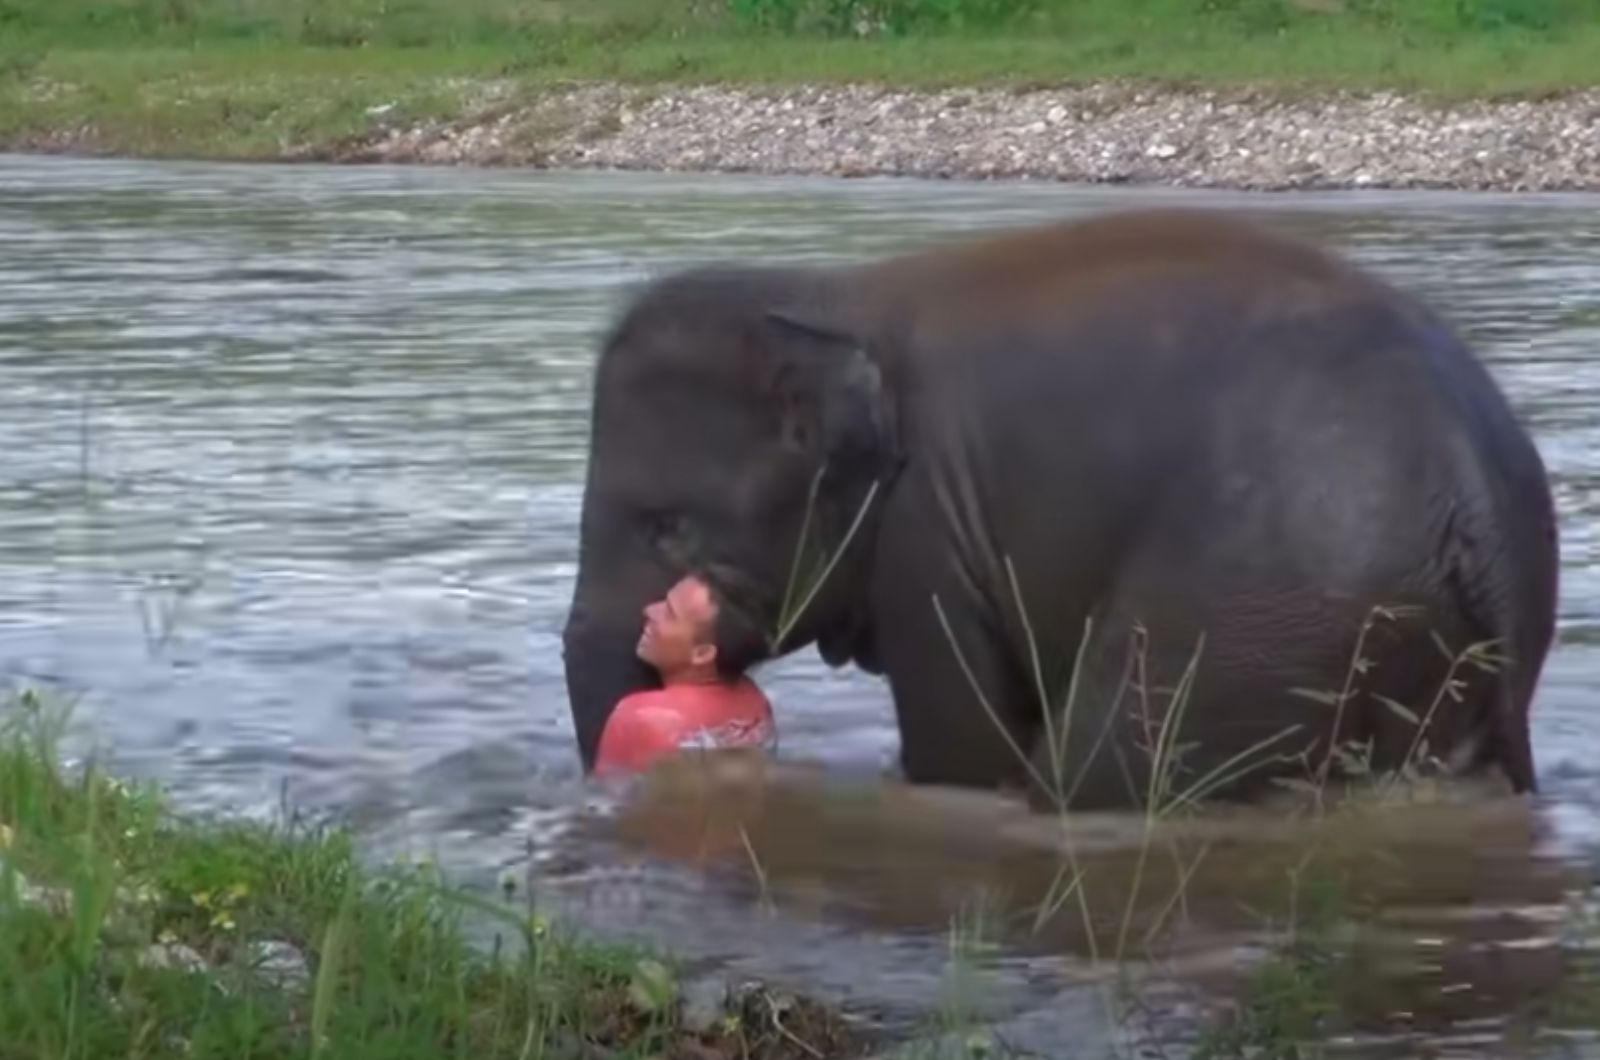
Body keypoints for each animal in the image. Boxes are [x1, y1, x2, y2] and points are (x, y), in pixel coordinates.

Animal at [556, 208, 1555, 813]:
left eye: (667, 529)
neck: (828, 294)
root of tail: (1472, 488)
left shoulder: (928, 536)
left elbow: (961, 748)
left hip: (1262, 605)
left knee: (1096, 769)